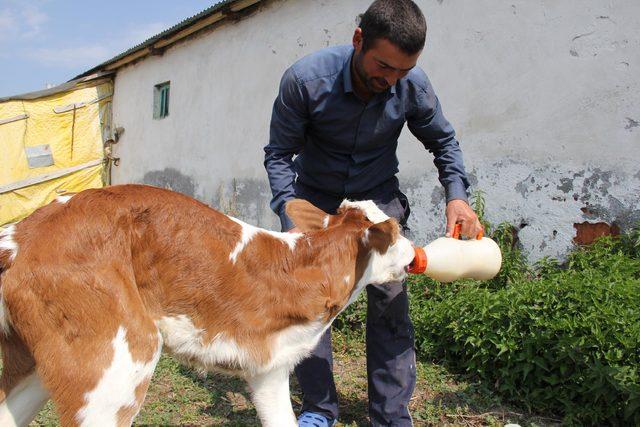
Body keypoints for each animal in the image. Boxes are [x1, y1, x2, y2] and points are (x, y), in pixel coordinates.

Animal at [0, 185, 416, 427]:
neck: (305, 265)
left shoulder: (268, 366)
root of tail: (24, 232)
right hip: (115, 364)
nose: (415, 254)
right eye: (397, 231)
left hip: (39, 359)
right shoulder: (270, 358)